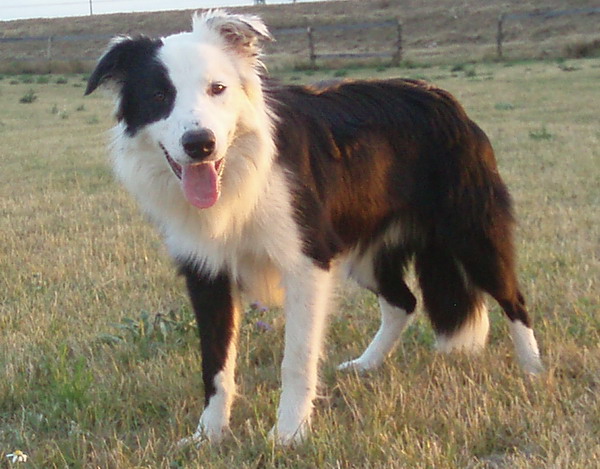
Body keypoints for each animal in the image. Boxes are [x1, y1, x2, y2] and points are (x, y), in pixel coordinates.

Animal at [85, 10, 544, 442]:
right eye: (160, 95)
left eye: (217, 89)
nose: (200, 144)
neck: (238, 172)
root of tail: (443, 97)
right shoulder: (206, 272)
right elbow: (214, 364)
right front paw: (208, 435)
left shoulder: (305, 262)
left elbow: (297, 359)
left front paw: (289, 433)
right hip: (364, 252)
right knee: (403, 302)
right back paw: (366, 364)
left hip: (473, 234)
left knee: (513, 299)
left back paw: (534, 371)